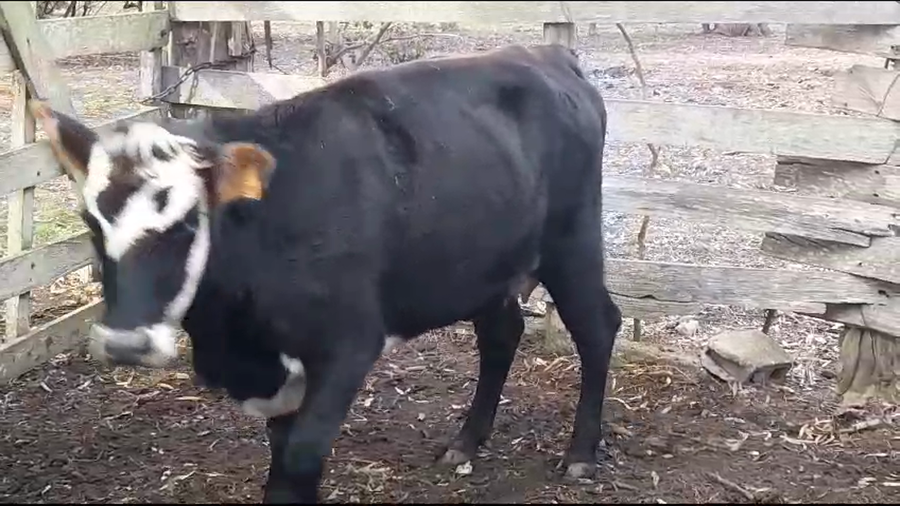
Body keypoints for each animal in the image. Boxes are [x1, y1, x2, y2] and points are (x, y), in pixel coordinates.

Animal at [30, 43, 622, 503]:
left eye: (188, 222)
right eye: (91, 222)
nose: (126, 344)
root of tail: (547, 54)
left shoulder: (347, 346)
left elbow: (299, 462)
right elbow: (280, 455)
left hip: (572, 243)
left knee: (598, 326)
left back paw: (581, 452)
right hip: (486, 266)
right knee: (502, 334)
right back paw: (465, 442)